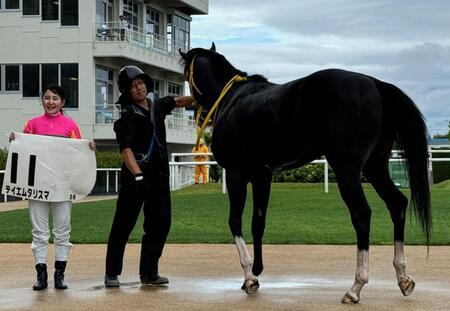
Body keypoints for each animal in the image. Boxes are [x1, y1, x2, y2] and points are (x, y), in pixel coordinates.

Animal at [179, 44, 432, 304]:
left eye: (185, 74)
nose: (195, 110)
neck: (233, 98)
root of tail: (375, 84)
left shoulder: (236, 172)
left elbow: (235, 221)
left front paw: (249, 276)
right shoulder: (262, 175)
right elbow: (258, 222)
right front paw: (256, 271)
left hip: (347, 169)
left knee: (362, 214)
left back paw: (356, 287)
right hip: (375, 167)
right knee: (397, 203)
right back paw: (403, 277)